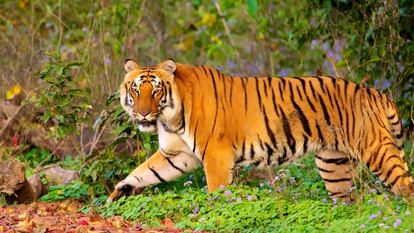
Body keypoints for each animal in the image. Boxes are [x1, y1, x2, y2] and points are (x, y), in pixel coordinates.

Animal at [106, 58, 414, 204]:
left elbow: (217, 192)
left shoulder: (216, 156)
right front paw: (119, 192)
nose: (143, 113)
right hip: (333, 164)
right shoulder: (177, 154)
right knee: (345, 199)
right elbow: (145, 171)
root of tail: (378, 93)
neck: (171, 117)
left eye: (156, 90)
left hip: (375, 150)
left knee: (405, 185)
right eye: (136, 89)